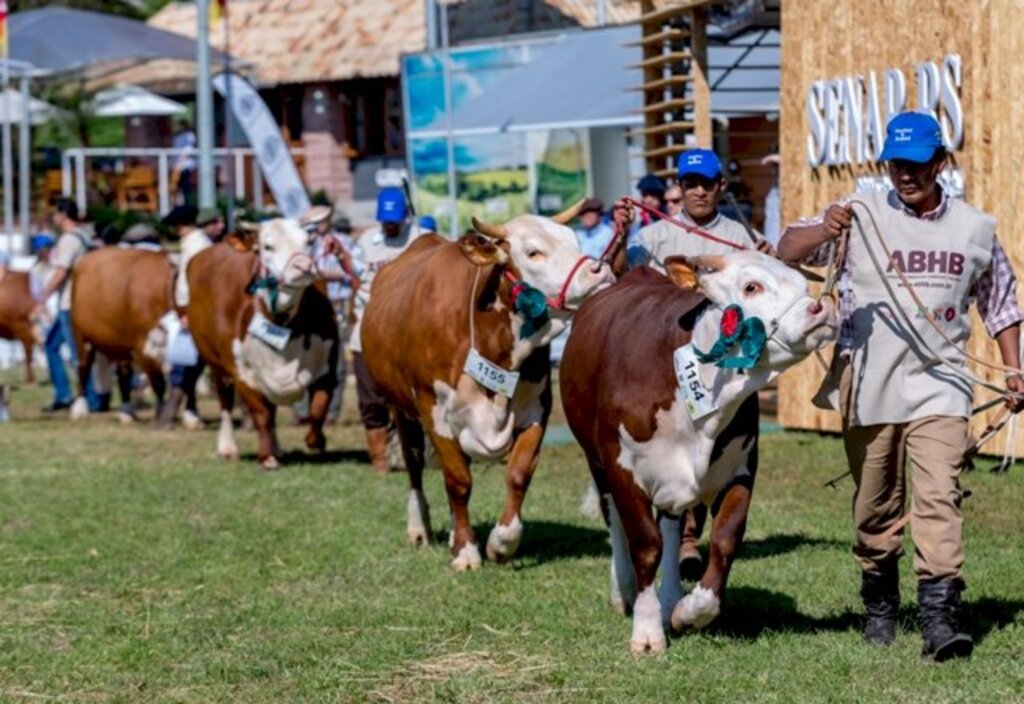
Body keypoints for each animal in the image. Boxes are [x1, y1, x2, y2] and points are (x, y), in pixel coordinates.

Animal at [68, 247, 173, 417]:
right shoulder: (143, 345)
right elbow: (158, 382)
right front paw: (161, 412)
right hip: (82, 337)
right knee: (84, 367)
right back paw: (80, 408)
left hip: (119, 343)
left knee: (124, 373)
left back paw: (126, 410)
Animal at [186, 214, 337, 466]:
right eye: (267, 246)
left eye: (307, 241)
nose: (304, 266)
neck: (283, 322)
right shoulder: (241, 372)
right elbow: (261, 414)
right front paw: (266, 457)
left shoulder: (328, 366)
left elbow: (318, 408)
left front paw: (316, 441)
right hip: (215, 363)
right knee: (225, 402)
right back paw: (228, 447)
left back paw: (277, 447)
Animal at [362, 200, 610, 568]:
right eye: (533, 252)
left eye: (574, 240)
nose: (600, 270)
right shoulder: (435, 412)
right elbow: (458, 482)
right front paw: (466, 551)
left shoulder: (536, 409)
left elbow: (518, 474)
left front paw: (501, 543)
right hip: (401, 408)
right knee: (414, 464)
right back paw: (420, 528)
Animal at [565, 250, 835, 650]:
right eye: (751, 286)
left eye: (802, 284)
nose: (820, 308)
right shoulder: (622, 469)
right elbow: (645, 543)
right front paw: (647, 632)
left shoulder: (740, 469)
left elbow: (724, 540)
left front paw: (689, 611)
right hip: (595, 461)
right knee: (615, 521)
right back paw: (623, 591)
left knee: (672, 526)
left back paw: (670, 597)